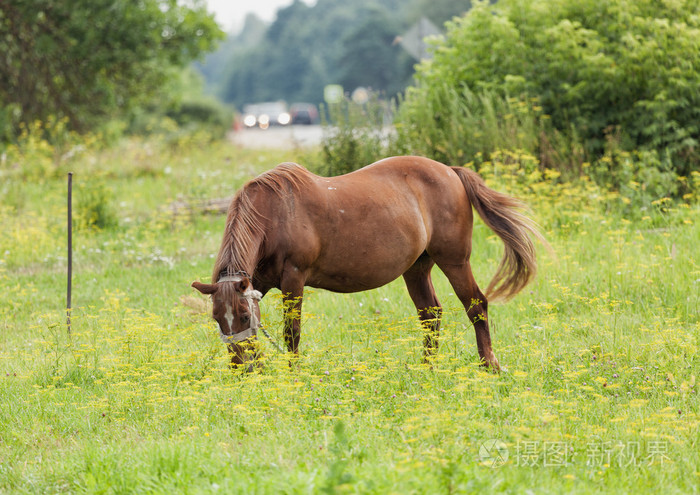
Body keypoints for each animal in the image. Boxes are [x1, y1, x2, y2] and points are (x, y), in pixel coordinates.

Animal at [194, 157, 544, 370]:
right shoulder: (259, 281)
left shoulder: (293, 279)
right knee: (430, 315)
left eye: (243, 316)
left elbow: (291, 332)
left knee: (476, 305)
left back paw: (489, 366)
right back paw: (427, 368)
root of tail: (450, 171)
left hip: (455, 260)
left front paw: (295, 375)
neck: (274, 214)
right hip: (417, 268)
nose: (242, 368)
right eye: (217, 318)